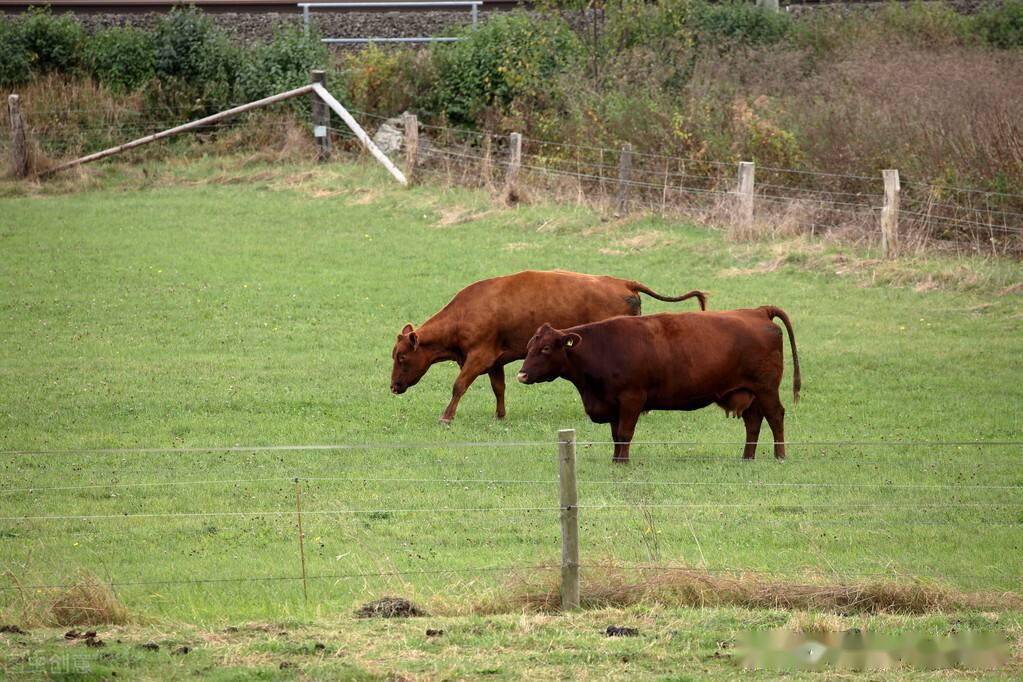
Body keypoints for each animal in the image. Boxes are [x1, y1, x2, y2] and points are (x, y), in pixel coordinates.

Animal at [386, 269, 707, 421]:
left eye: (401, 357)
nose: (393, 386)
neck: (467, 311)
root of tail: (622, 282)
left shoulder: (478, 357)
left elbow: (459, 385)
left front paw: (446, 416)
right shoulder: (495, 361)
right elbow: (499, 388)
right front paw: (500, 416)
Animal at [519, 308, 797, 464]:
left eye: (545, 348)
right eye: (529, 346)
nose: (521, 375)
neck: (602, 348)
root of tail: (757, 311)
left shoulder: (631, 399)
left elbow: (624, 433)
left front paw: (622, 463)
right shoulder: (612, 403)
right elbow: (615, 435)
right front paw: (615, 459)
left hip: (766, 389)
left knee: (775, 416)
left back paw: (780, 456)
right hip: (749, 392)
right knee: (753, 422)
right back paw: (747, 457)